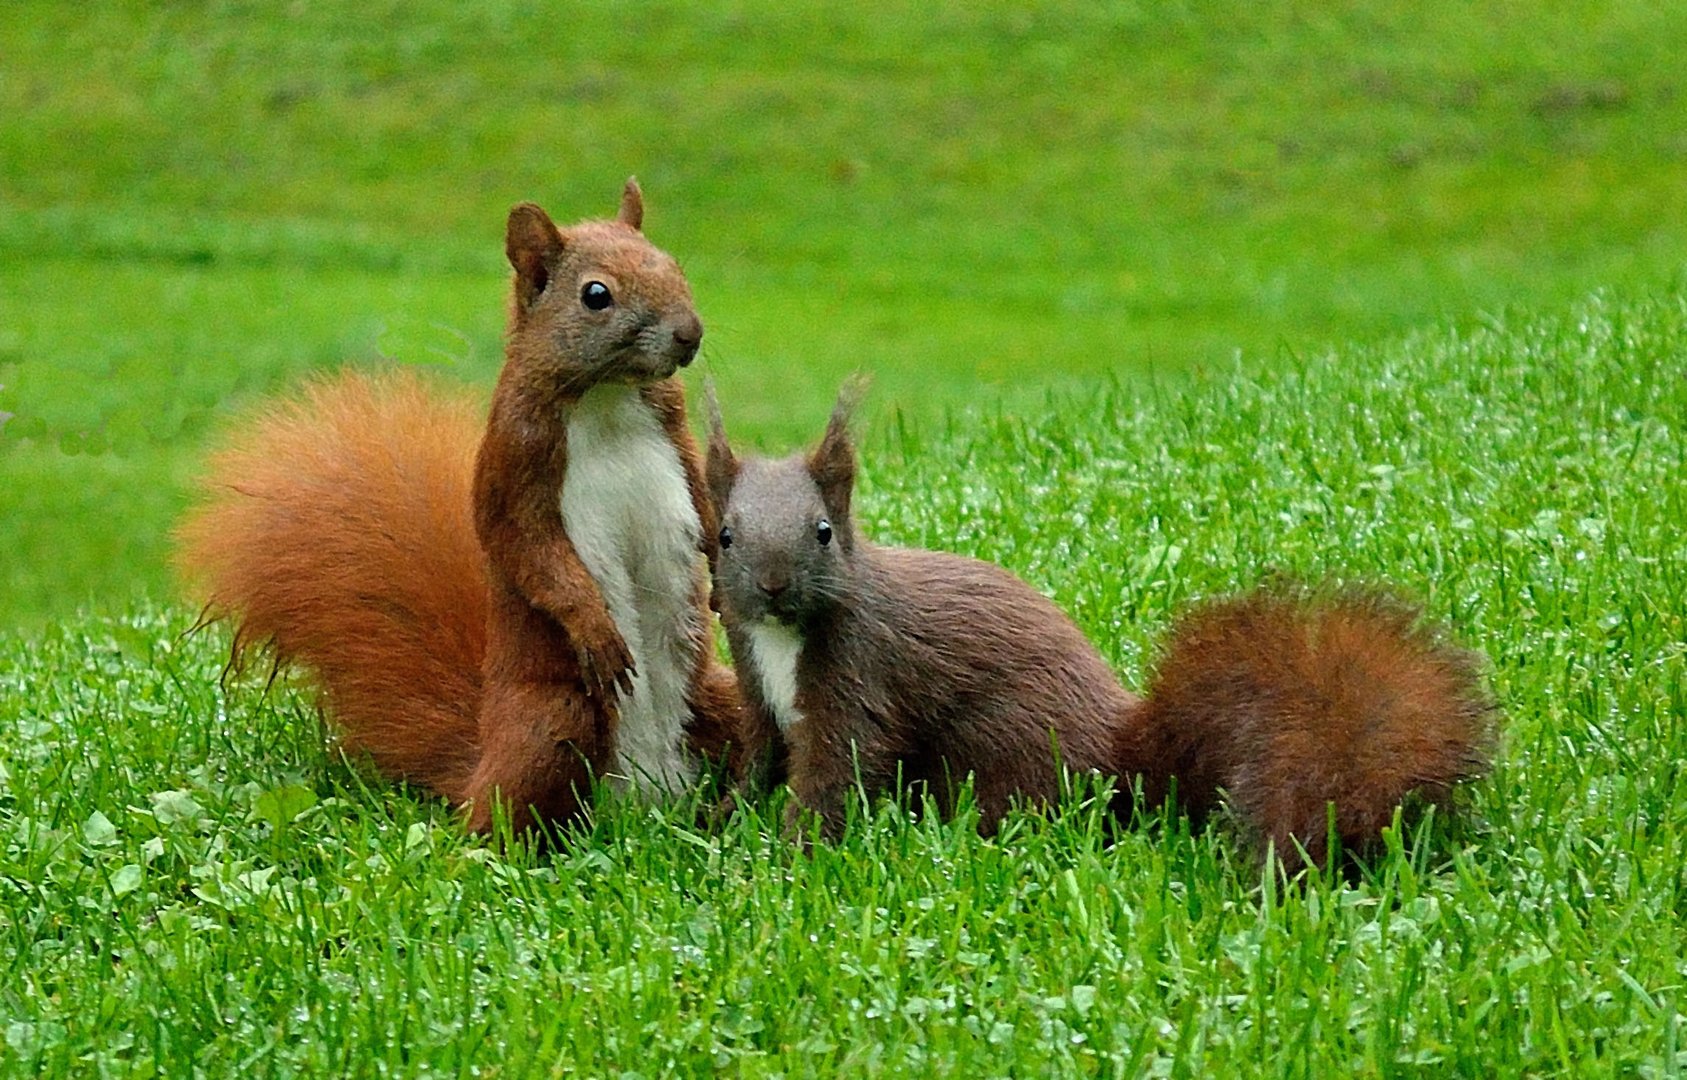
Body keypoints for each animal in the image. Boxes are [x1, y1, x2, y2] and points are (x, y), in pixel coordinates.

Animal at [176, 178, 745, 837]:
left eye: (673, 265)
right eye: (595, 295)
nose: (690, 334)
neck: (607, 397)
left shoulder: (676, 436)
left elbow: (708, 508)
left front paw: (724, 582)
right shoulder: (512, 466)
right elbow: (530, 553)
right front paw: (596, 628)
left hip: (719, 698)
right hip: (555, 720)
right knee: (497, 817)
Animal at [705, 384, 1498, 864]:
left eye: (822, 532)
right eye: (724, 535)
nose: (771, 587)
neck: (781, 639)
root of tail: (1119, 753)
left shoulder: (861, 675)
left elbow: (836, 774)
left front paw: (785, 857)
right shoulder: (759, 690)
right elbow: (761, 758)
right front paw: (721, 818)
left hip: (1009, 743)